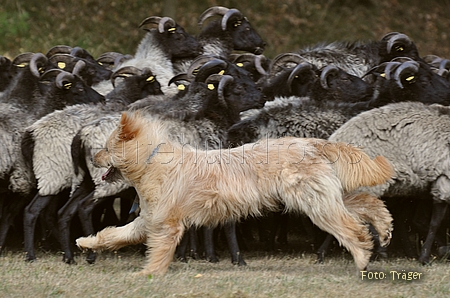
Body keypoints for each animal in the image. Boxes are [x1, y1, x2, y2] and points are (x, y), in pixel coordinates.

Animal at [77, 112, 394, 278]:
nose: (92, 157)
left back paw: (363, 258)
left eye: (106, 147)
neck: (152, 161)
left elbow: (158, 252)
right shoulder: (148, 220)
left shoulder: (166, 226)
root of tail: (312, 143)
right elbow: (113, 235)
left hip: (315, 203)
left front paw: (148, 274)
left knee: (351, 227)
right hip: (323, 197)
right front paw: (86, 242)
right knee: (366, 204)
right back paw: (384, 227)